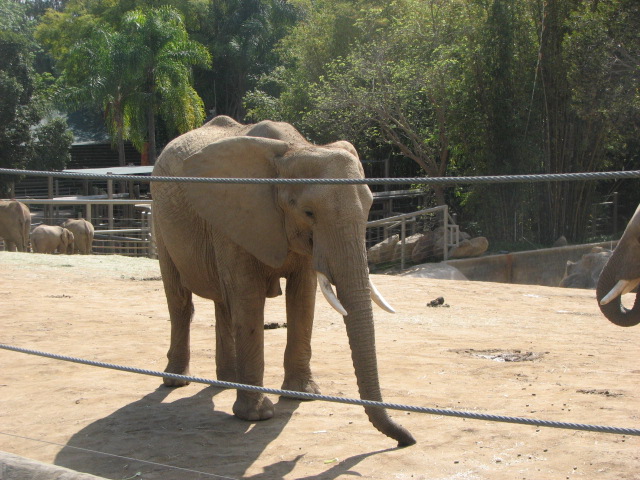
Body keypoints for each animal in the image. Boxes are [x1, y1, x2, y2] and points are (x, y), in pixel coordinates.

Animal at [151, 115, 415, 446]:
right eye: (308, 212)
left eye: (369, 208)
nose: (407, 439)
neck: (294, 149)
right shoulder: (238, 212)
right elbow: (248, 296)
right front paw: (257, 415)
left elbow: (303, 296)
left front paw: (303, 396)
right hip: (159, 218)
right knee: (180, 300)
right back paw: (176, 381)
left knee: (224, 302)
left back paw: (226, 381)